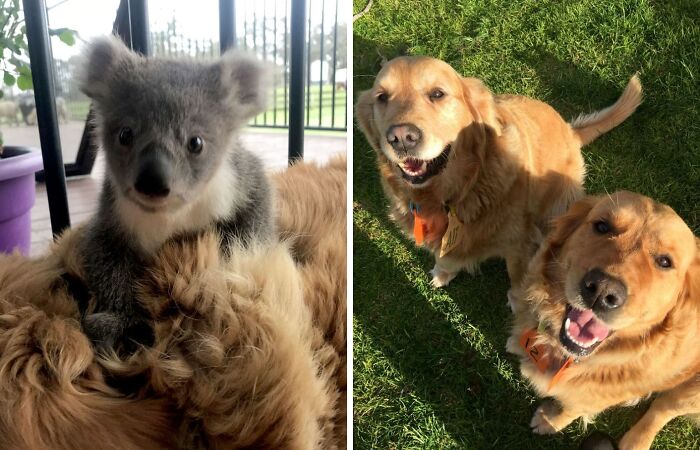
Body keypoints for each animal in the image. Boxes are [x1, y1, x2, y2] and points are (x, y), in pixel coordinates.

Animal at [356, 56, 640, 288]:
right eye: (381, 97)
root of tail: (572, 132)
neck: (459, 192)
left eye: (437, 94)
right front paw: (443, 273)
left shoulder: (519, 244)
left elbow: (518, 281)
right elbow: (445, 257)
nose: (401, 138)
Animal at [508, 192, 700, 448]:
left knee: (664, 408)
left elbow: (572, 409)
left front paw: (550, 421)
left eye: (665, 261)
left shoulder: (590, 398)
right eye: (602, 226)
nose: (602, 290)